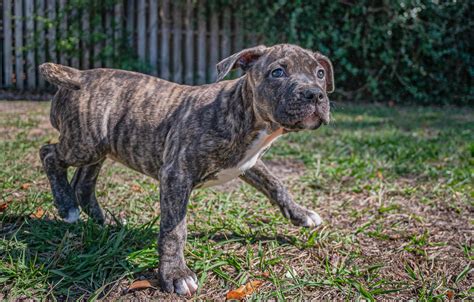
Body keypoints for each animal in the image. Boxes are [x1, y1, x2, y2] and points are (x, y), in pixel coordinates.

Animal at [39, 43, 336, 296]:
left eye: (320, 73)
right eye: (277, 72)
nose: (315, 94)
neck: (245, 113)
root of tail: (80, 75)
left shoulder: (248, 164)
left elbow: (276, 185)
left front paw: (301, 214)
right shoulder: (176, 174)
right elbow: (174, 229)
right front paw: (175, 274)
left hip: (99, 146)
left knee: (83, 182)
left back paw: (100, 220)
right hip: (83, 144)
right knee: (49, 154)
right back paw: (66, 205)